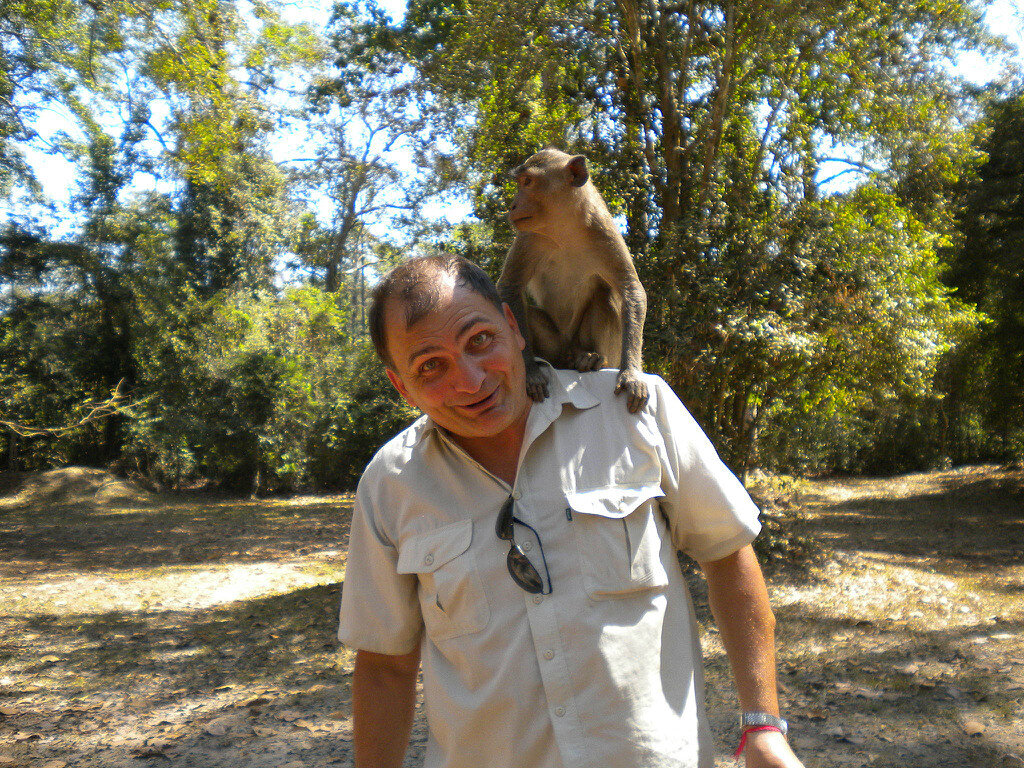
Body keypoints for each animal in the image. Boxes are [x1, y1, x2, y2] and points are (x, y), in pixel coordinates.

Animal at [495, 149, 647, 415]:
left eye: (527, 182)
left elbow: (629, 288)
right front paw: (530, 372)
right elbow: (510, 288)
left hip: (582, 340)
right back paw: (562, 360)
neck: (564, 229)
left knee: (605, 297)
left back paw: (591, 359)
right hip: (555, 343)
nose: (512, 206)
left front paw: (631, 374)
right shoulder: (526, 237)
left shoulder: (604, 231)